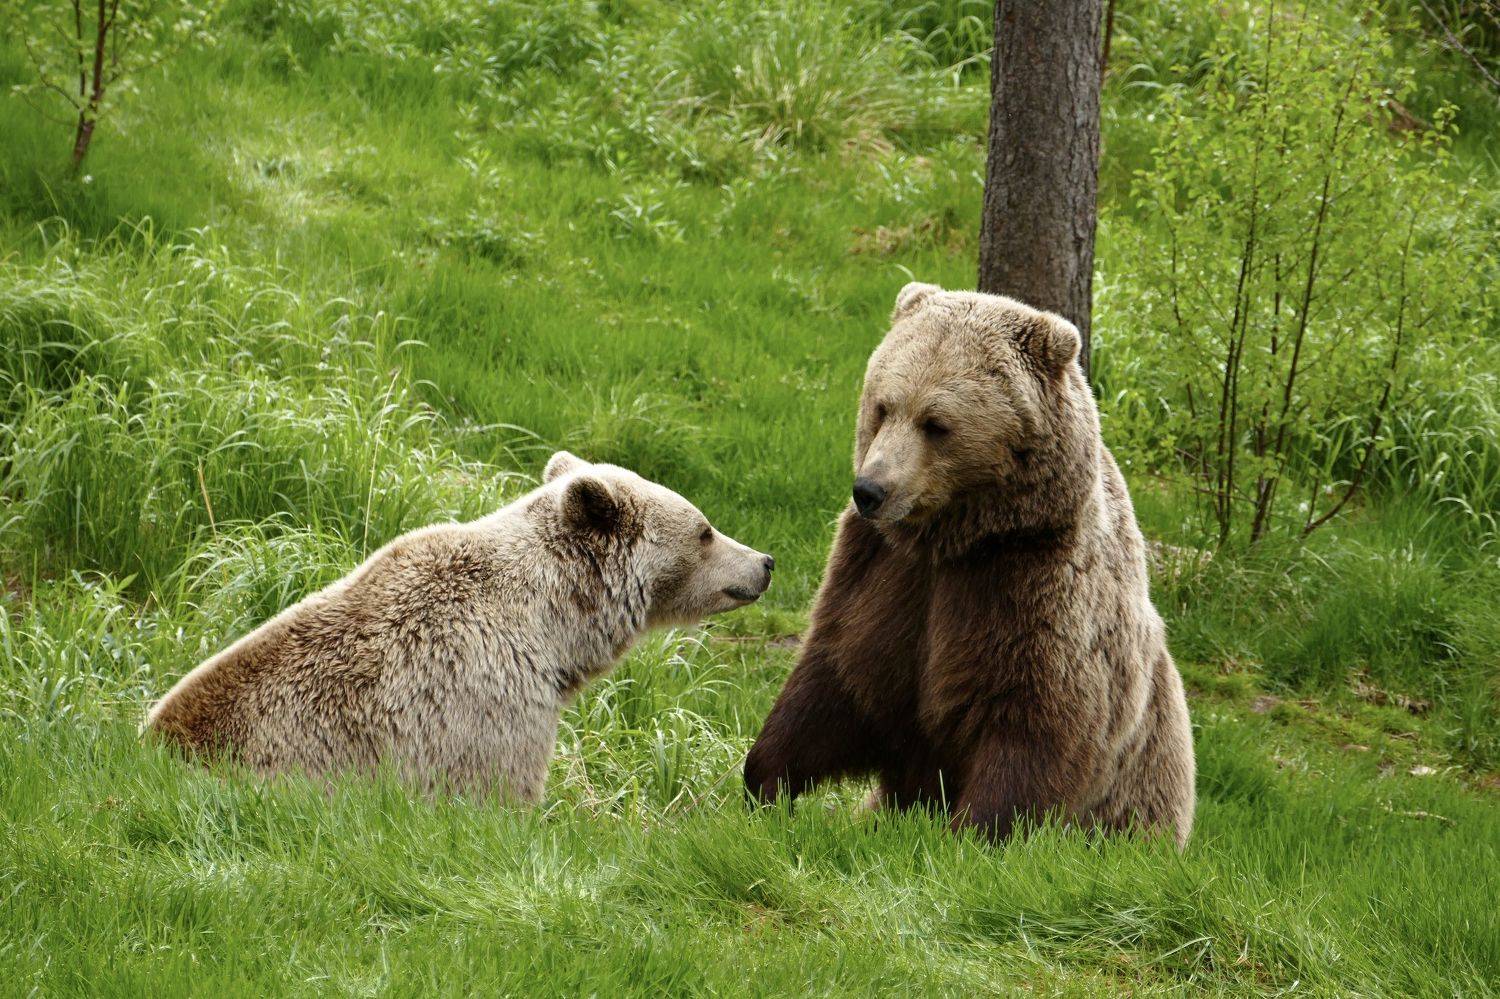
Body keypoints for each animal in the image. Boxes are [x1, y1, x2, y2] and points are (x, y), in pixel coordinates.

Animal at [744, 283, 1195, 846]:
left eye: (936, 423)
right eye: (882, 406)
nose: (870, 490)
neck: (954, 542)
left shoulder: (1032, 591)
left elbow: (1034, 725)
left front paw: (972, 832)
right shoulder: (883, 574)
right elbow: (838, 679)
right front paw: (764, 779)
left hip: (1141, 799)